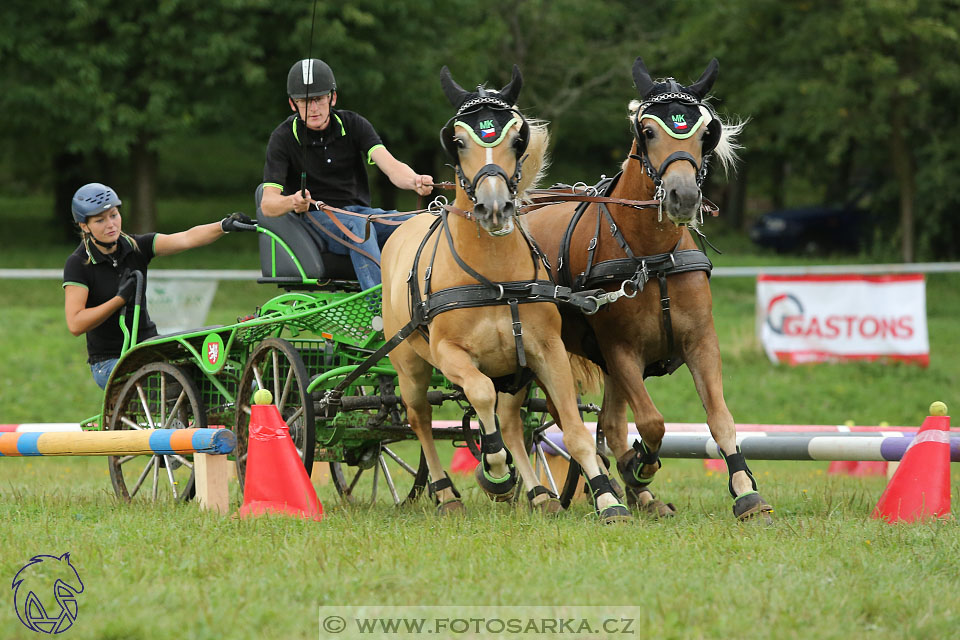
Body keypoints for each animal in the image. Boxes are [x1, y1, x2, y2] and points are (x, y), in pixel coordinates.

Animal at [496, 57, 772, 524]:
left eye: (706, 132)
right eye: (647, 130)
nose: (683, 196)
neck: (651, 257)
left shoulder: (701, 341)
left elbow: (720, 418)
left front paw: (745, 492)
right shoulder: (620, 349)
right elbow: (651, 423)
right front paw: (637, 466)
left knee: (599, 421)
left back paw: (636, 495)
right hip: (532, 357)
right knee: (520, 420)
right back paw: (547, 493)